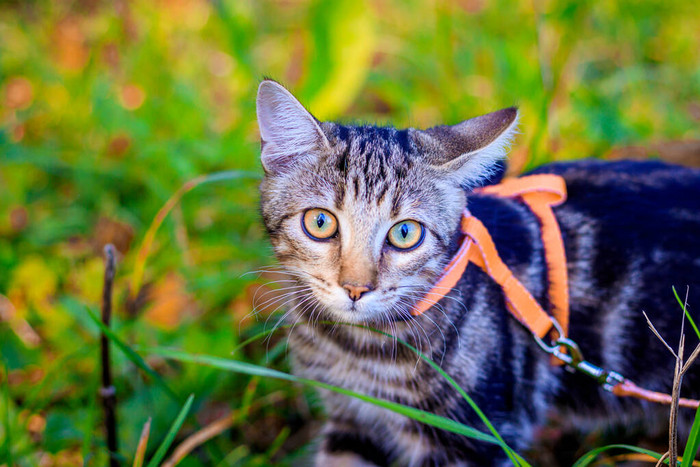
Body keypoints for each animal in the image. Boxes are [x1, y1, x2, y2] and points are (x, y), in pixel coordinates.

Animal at [254, 78, 696, 466]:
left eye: (404, 233)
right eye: (320, 223)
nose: (356, 288)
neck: (357, 349)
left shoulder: (473, 436)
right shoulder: (352, 421)